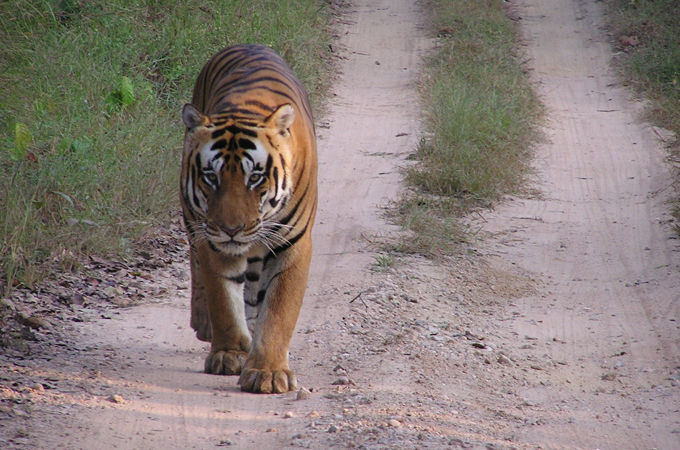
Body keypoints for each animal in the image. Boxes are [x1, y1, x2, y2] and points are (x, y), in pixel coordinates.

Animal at [181, 44, 318, 392]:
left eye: (255, 177)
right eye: (211, 177)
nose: (231, 229)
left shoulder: (292, 245)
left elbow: (279, 310)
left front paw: (267, 372)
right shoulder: (213, 242)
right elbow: (223, 300)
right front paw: (229, 354)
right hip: (193, 223)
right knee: (196, 265)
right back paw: (204, 324)